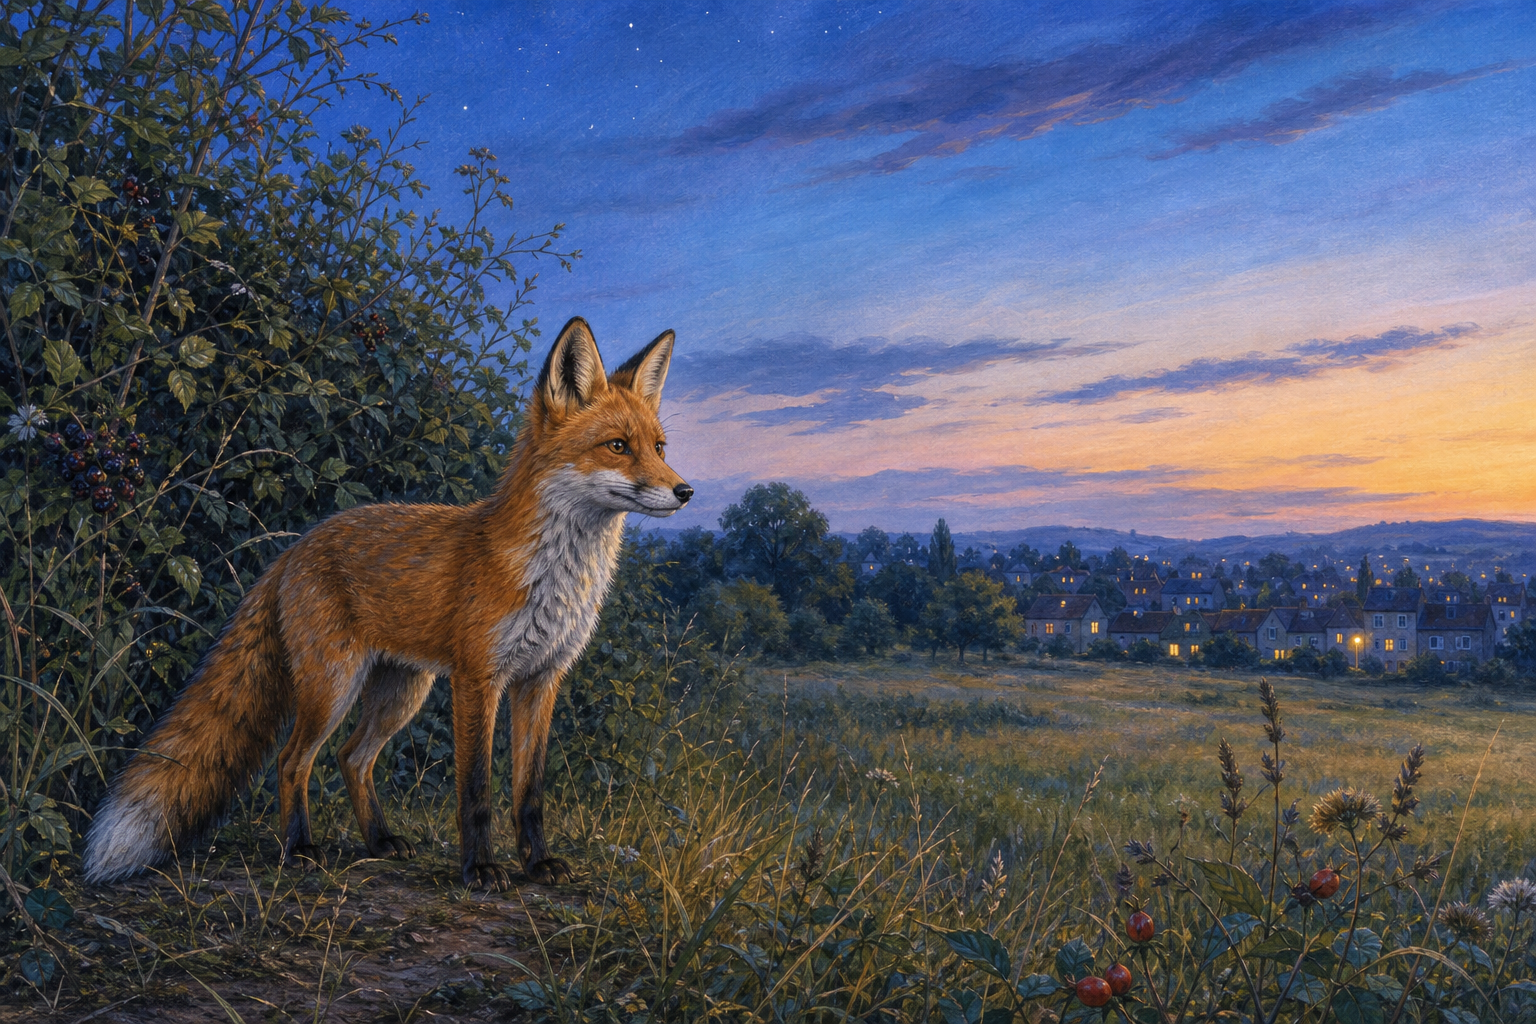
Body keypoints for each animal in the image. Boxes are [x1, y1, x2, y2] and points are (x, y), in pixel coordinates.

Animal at [84, 317, 691, 889]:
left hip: (402, 691)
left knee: (352, 759)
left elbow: (530, 793)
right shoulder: (478, 678)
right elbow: (476, 790)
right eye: (618, 446)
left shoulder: (542, 679)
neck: (555, 579)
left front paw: (537, 864)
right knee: (293, 760)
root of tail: (298, 545)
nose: (685, 492)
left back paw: (378, 839)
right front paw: (479, 870)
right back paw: (299, 848)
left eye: (660, 447)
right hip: (333, 686)